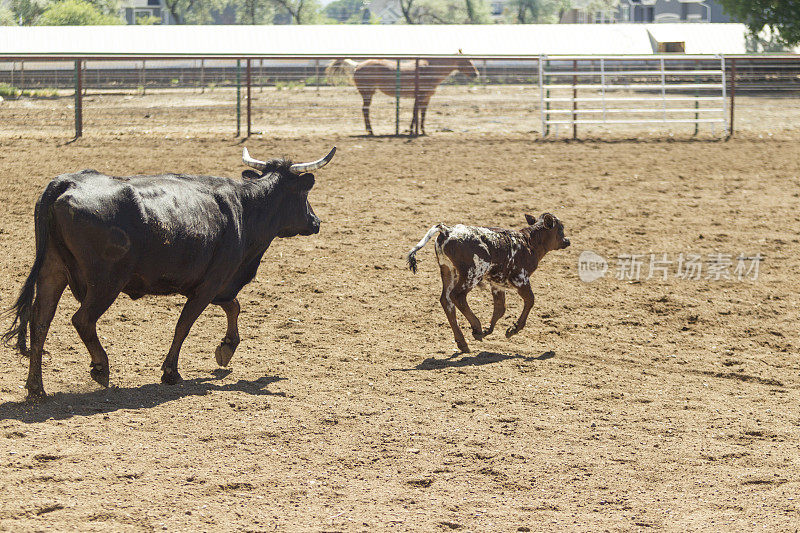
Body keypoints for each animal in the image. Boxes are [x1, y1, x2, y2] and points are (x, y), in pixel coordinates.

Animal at [3, 148, 334, 396]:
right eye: (303, 194)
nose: (316, 222)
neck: (245, 208)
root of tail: (67, 183)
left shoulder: (214, 283)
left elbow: (233, 306)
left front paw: (226, 349)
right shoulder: (212, 282)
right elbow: (185, 324)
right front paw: (171, 372)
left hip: (52, 272)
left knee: (40, 322)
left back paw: (36, 388)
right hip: (105, 283)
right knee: (82, 319)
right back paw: (101, 367)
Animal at [326, 57, 478, 136]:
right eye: (466, 60)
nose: (476, 74)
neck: (430, 70)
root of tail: (357, 65)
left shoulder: (425, 98)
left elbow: (421, 113)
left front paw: (421, 130)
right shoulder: (420, 96)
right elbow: (416, 113)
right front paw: (412, 130)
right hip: (368, 93)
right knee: (365, 110)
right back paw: (371, 131)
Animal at [406, 212, 568, 354]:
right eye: (560, 228)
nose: (567, 240)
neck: (529, 243)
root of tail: (448, 230)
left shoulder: (497, 284)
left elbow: (500, 308)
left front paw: (487, 331)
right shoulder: (520, 279)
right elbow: (530, 300)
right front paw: (513, 329)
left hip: (447, 270)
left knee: (446, 300)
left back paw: (463, 342)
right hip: (472, 274)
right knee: (457, 296)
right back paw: (476, 327)